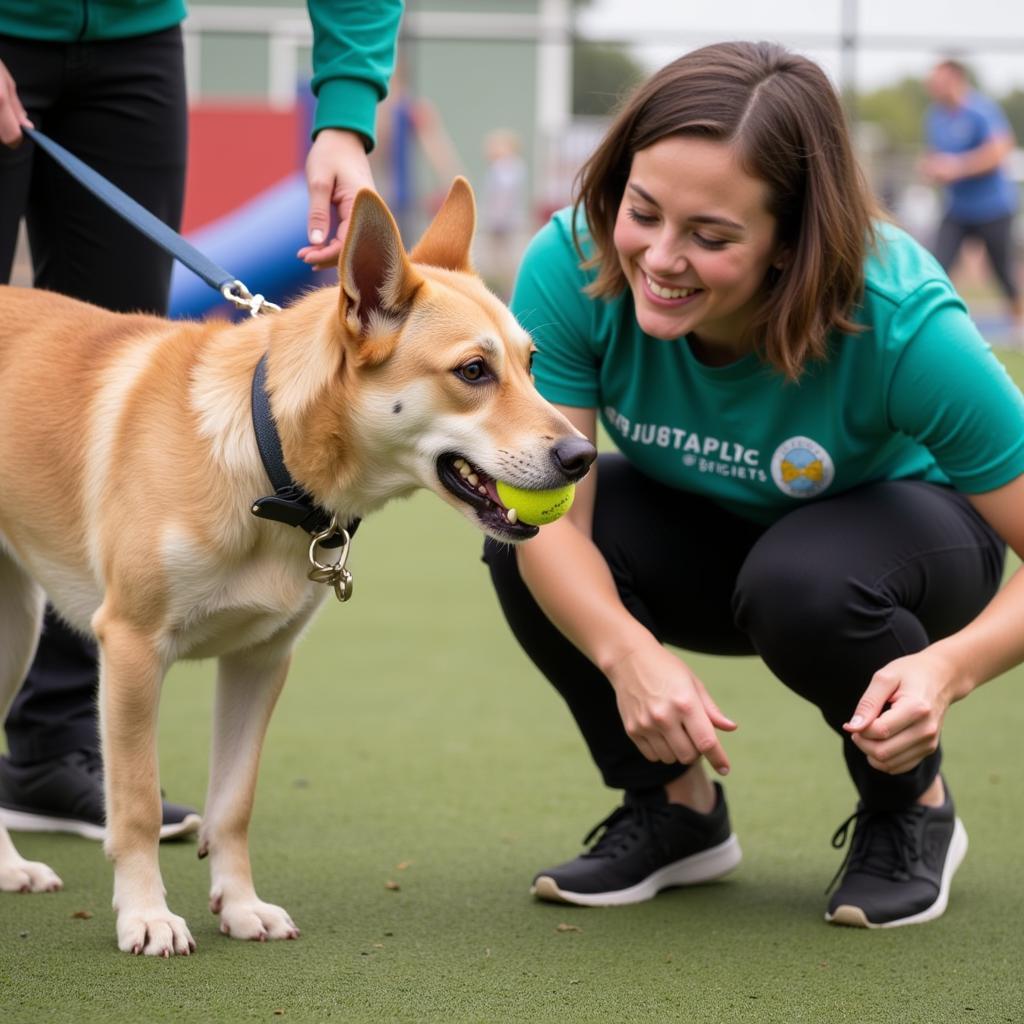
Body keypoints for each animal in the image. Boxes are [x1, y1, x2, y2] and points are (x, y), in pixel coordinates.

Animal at [0, 180, 593, 954]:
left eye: (531, 362)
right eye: (473, 371)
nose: (583, 456)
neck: (265, 455)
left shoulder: (261, 660)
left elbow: (234, 805)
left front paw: (240, 905)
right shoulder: (130, 647)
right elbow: (133, 805)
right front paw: (146, 916)